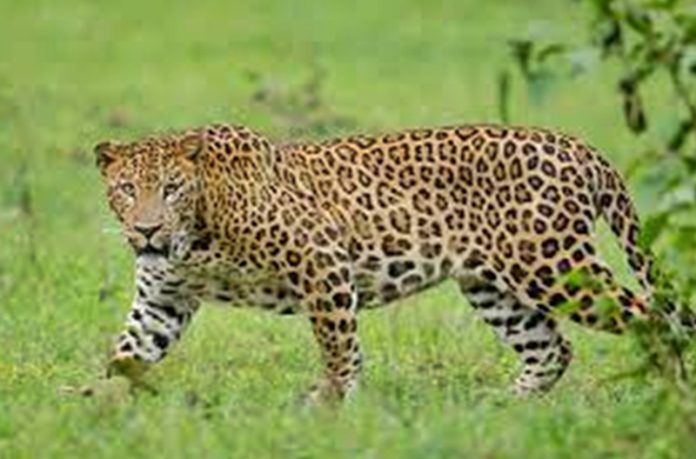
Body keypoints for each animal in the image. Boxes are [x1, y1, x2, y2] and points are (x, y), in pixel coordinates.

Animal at [94, 122, 668, 401]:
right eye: (127, 190)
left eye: (171, 189)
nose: (147, 229)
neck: (196, 235)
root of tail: (578, 146)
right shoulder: (163, 300)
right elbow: (126, 354)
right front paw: (94, 407)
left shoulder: (321, 259)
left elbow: (337, 345)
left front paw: (332, 403)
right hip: (492, 285)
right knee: (552, 349)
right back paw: (504, 406)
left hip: (553, 266)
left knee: (655, 320)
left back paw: (666, 394)